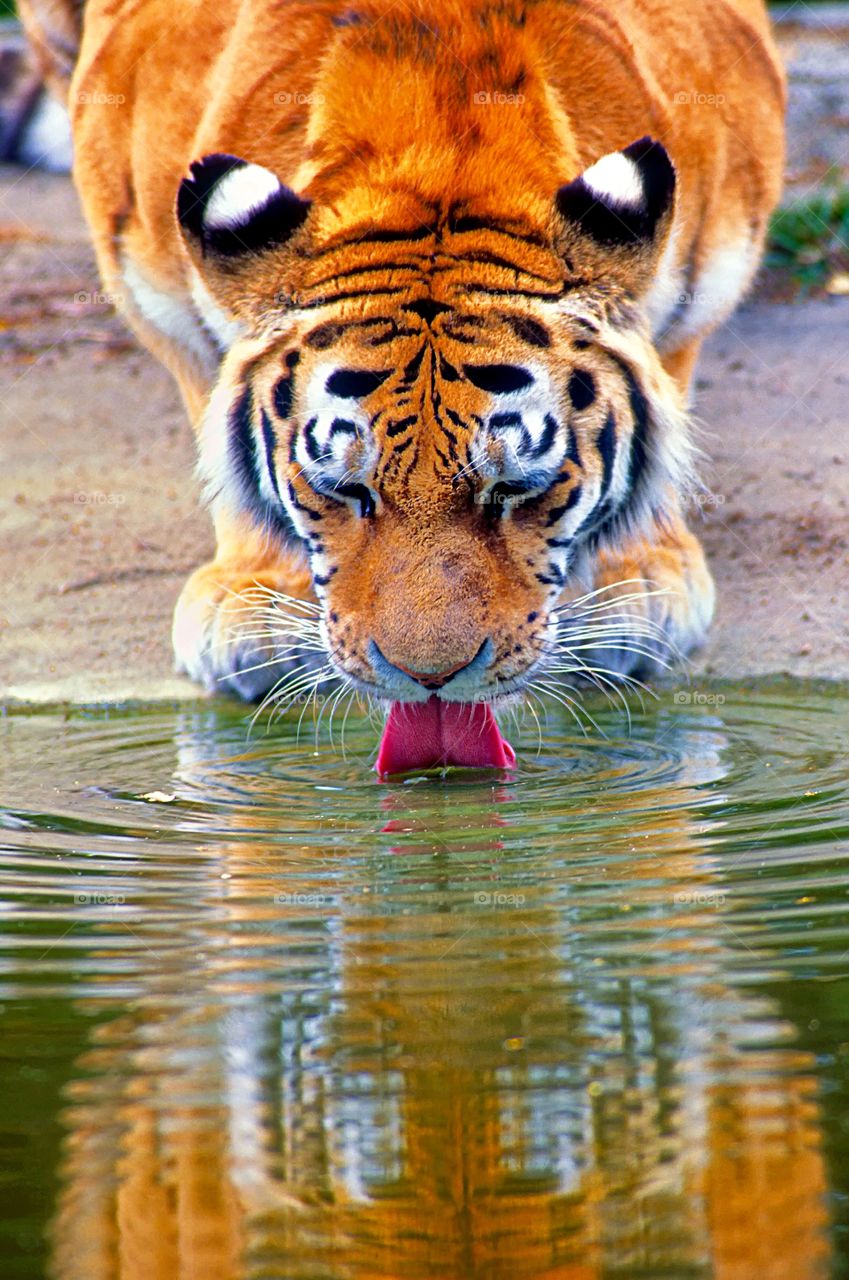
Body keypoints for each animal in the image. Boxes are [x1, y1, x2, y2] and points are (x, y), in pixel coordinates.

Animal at [18, 0, 783, 768]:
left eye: (515, 489)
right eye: (343, 490)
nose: (430, 679)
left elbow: (666, 378)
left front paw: (636, 582)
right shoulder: (146, 271)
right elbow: (212, 391)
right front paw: (255, 602)